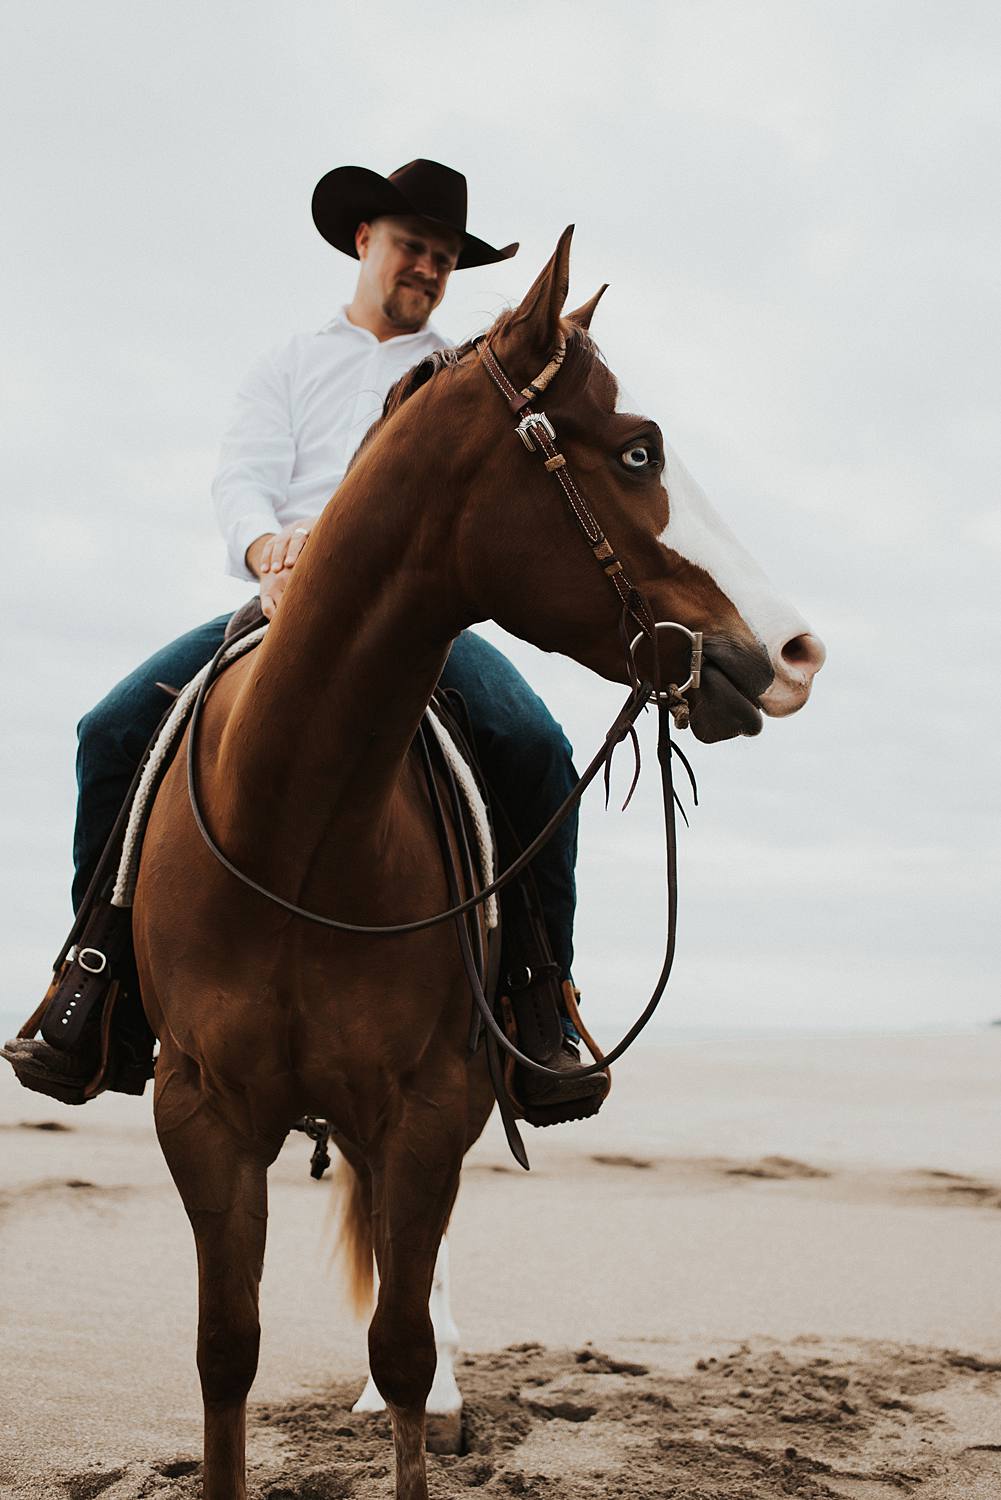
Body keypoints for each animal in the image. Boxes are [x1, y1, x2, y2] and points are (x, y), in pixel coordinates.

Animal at [131, 225, 822, 1500]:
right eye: (636, 449)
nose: (796, 650)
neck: (298, 829)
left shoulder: (427, 1106)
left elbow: (403, 1343)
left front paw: (424, 1401)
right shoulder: (201, 1112)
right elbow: (224, 1352)